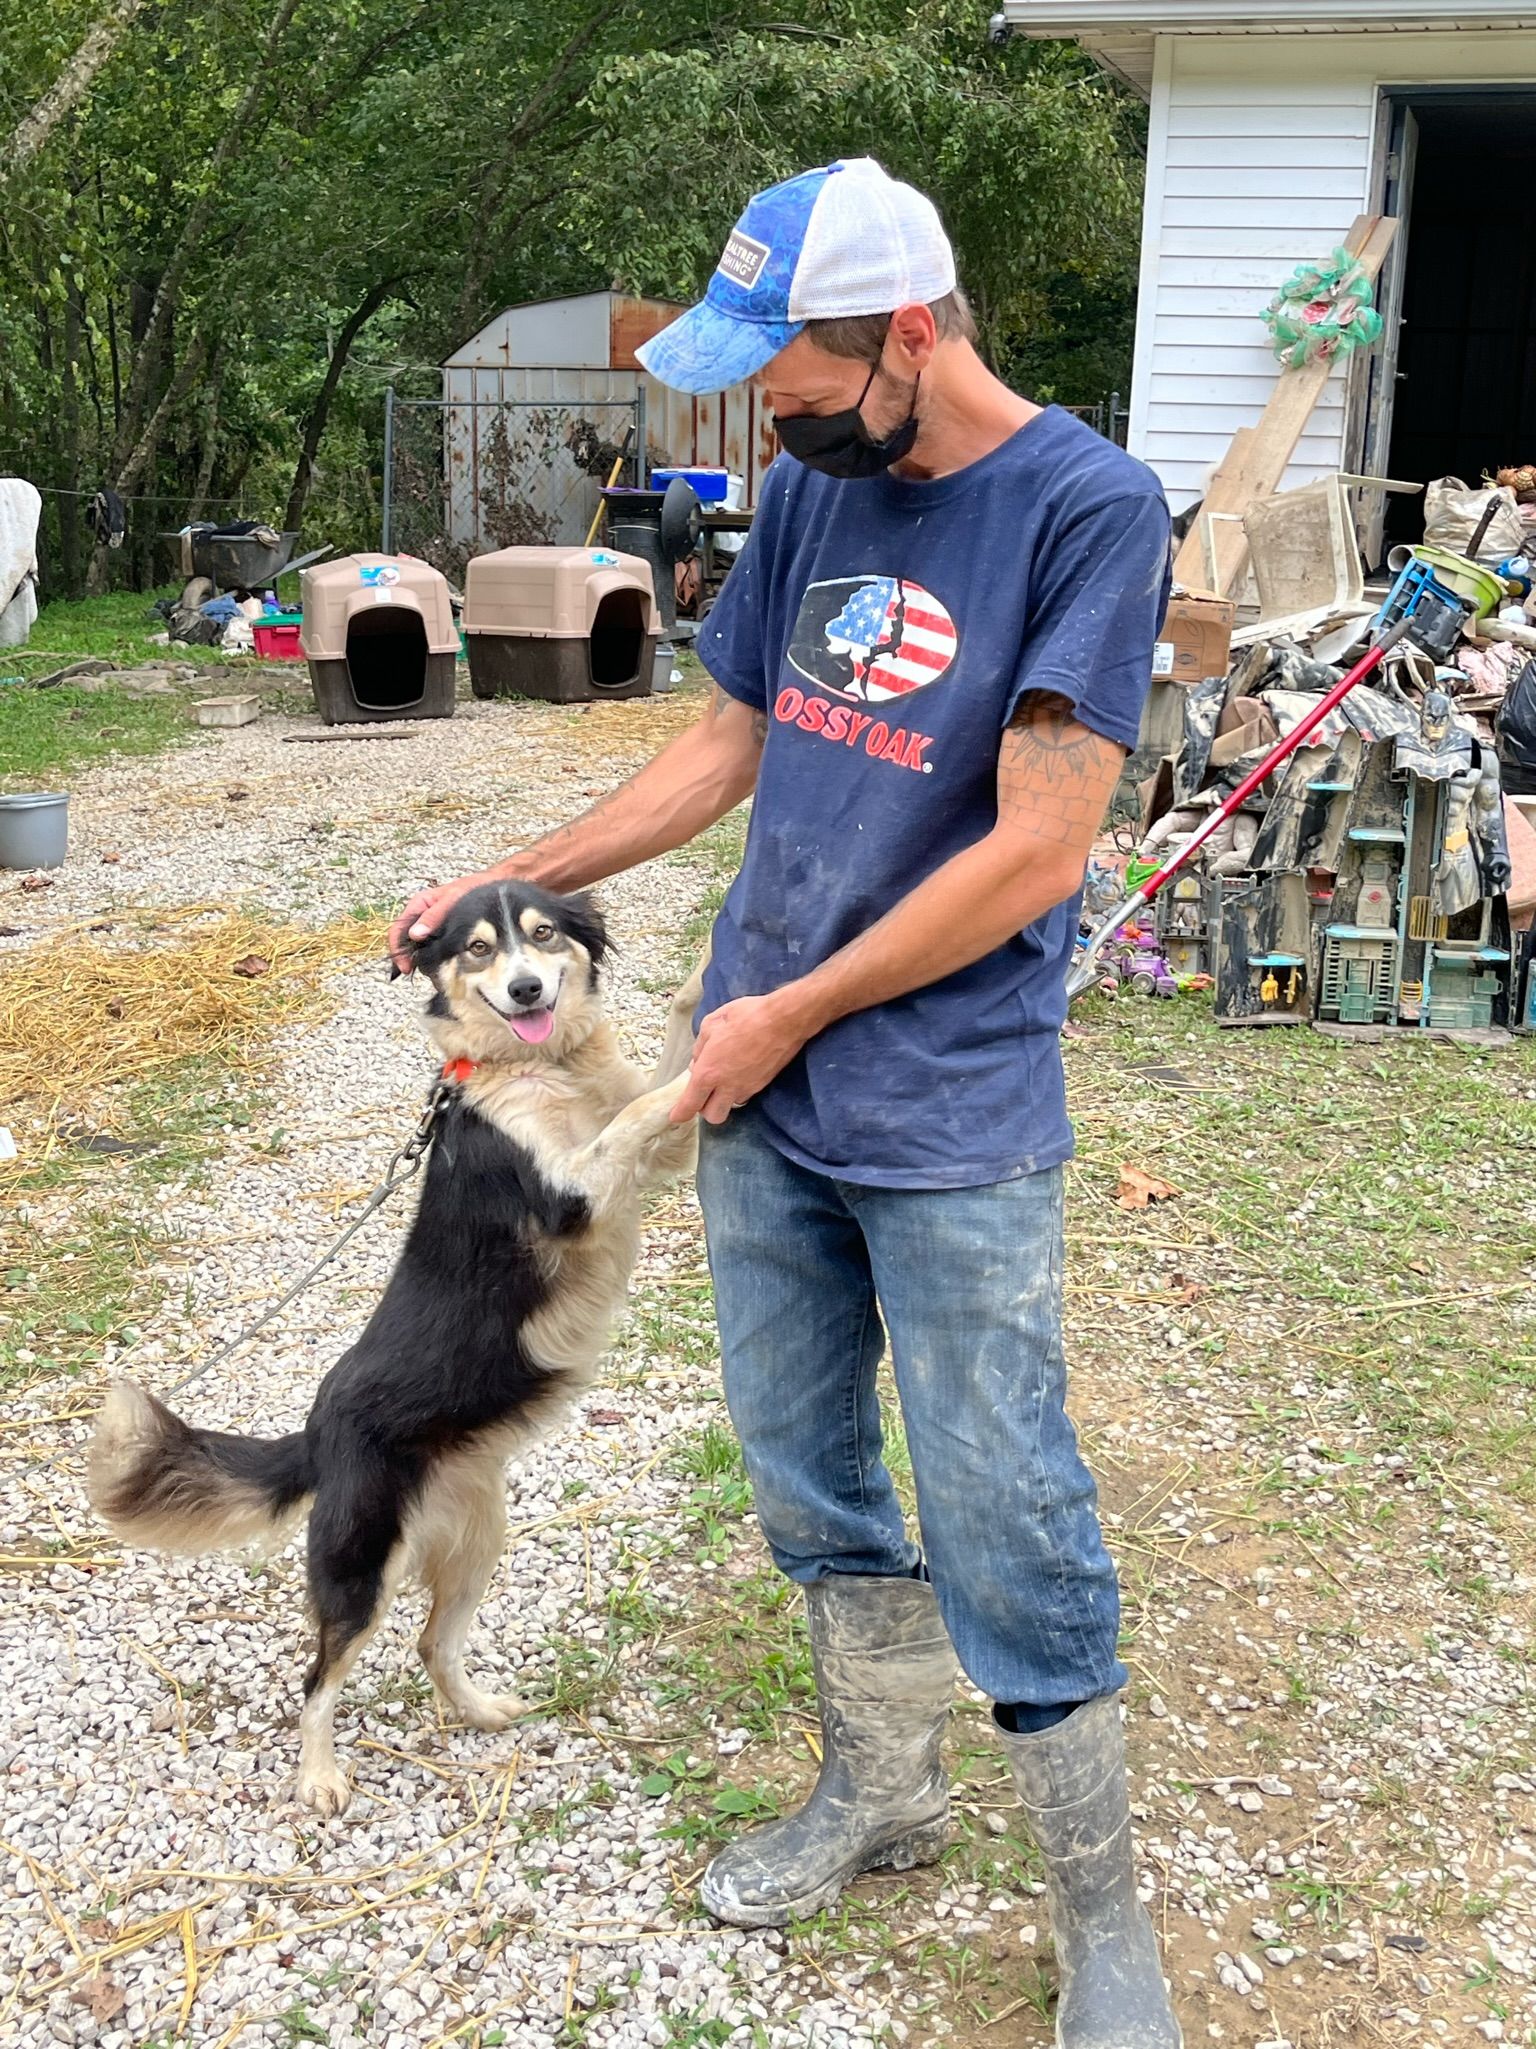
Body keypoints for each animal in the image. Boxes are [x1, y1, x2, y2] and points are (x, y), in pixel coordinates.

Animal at [90, 881, 704, 1811]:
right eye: (479, 948)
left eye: (543, 935)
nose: (527, 989)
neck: (539, 1066)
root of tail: (316, 1433)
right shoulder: (572, 1194)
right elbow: (643, 1108)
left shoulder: (653, 1158)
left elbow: (661, 1066)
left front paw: (711, 983)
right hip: (361, 1569)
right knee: (317, 1680)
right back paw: (319, 1778)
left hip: (479, 1538)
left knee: (429, 1644)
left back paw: (481, 1712)